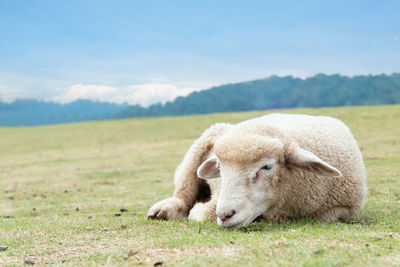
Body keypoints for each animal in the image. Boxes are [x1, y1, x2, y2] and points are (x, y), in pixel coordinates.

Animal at [147, 114, 366, 229]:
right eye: (220, 167)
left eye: (267, 166)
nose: (225, 215)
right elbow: (201, 214)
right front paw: (197, 212)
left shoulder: (341, 208)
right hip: (199, 148)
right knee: (184, 191)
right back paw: (164, 210)